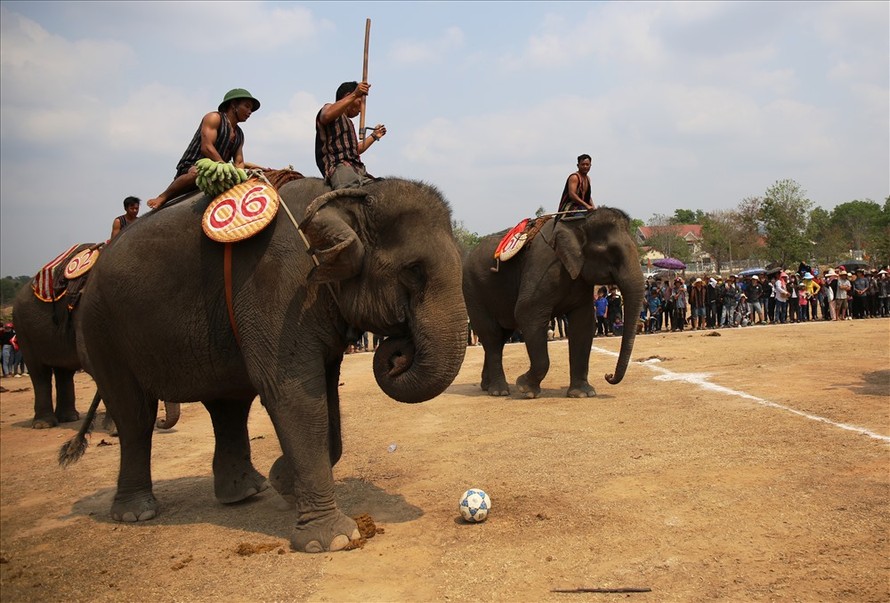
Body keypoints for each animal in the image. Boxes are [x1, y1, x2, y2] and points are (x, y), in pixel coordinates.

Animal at [12, 245, 180, 430]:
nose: (160, 422)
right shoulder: (86, 314)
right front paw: (115, 429)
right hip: (22, 329)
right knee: (39, 373)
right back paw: (44, 424)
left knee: (64, 372)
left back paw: (70, 418)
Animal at [73, 177, 468, 556]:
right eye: (413, 271)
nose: (398, 352)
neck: (343, 198)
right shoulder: (279, 286)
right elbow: (294, 394)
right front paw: (332, 540)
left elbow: (324, 396)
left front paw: (283, 481)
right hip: (101, 330)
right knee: (134, 414)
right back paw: (135, 513)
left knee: (228, 407)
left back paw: (246, 492)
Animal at [462, 209, 640, 402]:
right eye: (613, 252)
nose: (608, 376)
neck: (578, 221)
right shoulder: (543, 266)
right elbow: (526, 312)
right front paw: (525, 388)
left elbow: (583, 324)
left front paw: (583, 394)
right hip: (473, 291)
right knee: (492, 335)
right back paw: (499, 391)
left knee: (501, 335)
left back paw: (487, 386)